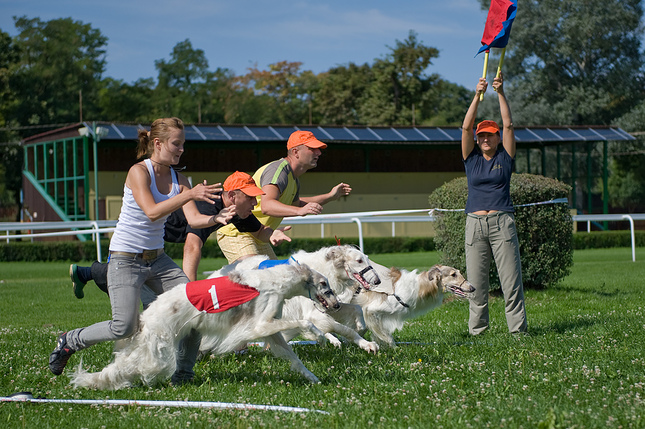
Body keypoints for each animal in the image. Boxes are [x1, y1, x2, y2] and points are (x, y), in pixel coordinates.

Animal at [71, 262, 338, 386]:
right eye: (325, 285)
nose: (336, 305)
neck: (277, 280)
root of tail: (147, 316)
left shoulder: (270, 330)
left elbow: (294, 357)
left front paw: (313, 377)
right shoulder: (260, 325)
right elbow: (305, 322)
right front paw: (320, 336)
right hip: (158, 347)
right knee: (127, 367)